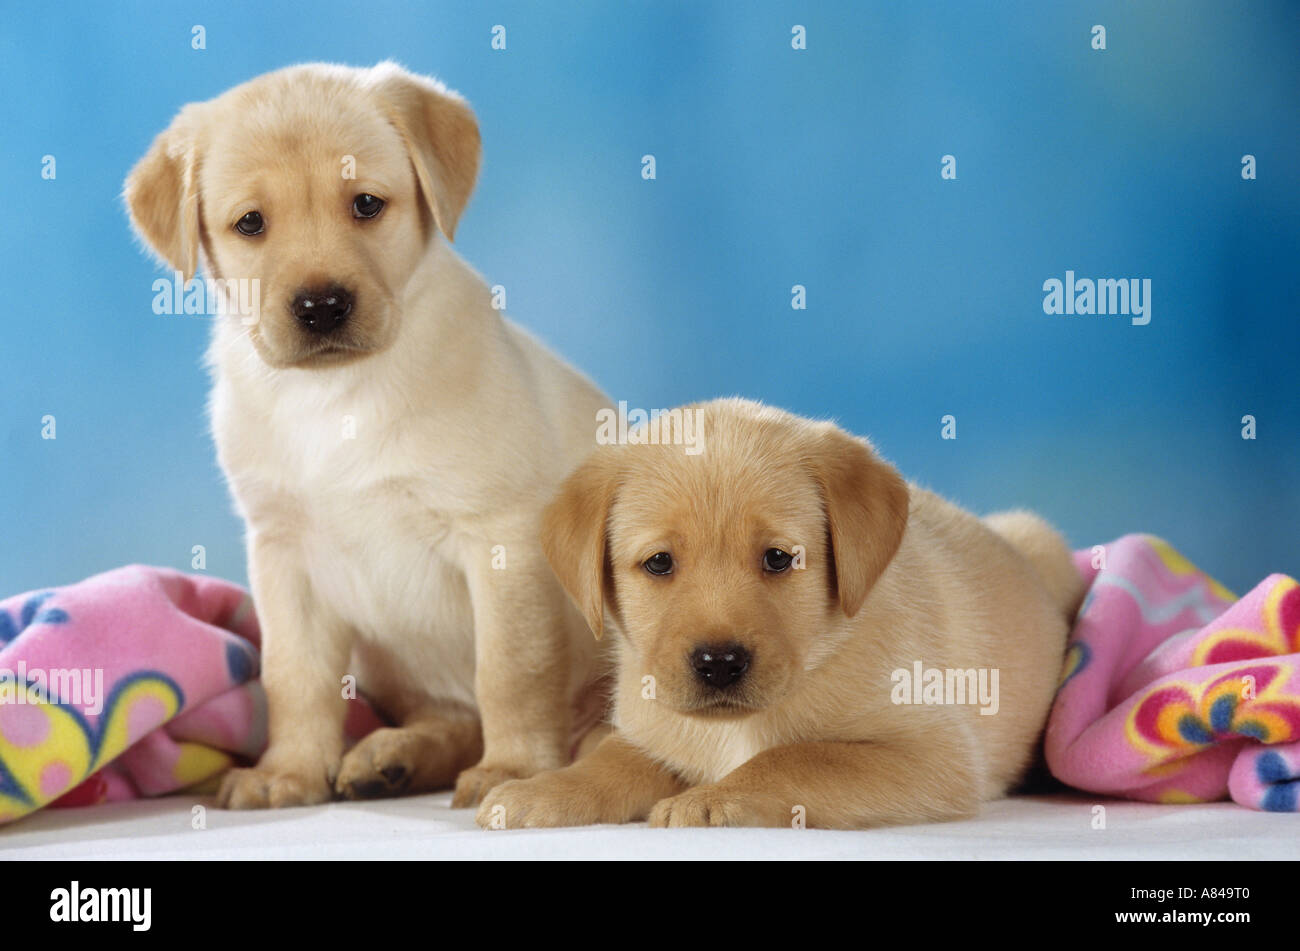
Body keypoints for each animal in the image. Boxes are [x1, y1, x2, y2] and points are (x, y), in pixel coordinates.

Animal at [124, 63, 611, 810]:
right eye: (250, 223)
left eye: (366, 205)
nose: (322, 306)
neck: (336, 394)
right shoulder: (283, 555)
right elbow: (293, 679)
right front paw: (290, 771)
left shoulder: (497, 535)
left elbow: (511, 669)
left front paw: (513, 768)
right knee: (451, 718)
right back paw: (393, 756)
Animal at [473, 397, 1081, 826]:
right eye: (659, 563)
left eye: (778, 558)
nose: (719, 663)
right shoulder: (654, 726)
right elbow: (610, 759)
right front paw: (543, 789)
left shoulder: (931, 753)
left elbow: (796, 758)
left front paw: (714, 797)